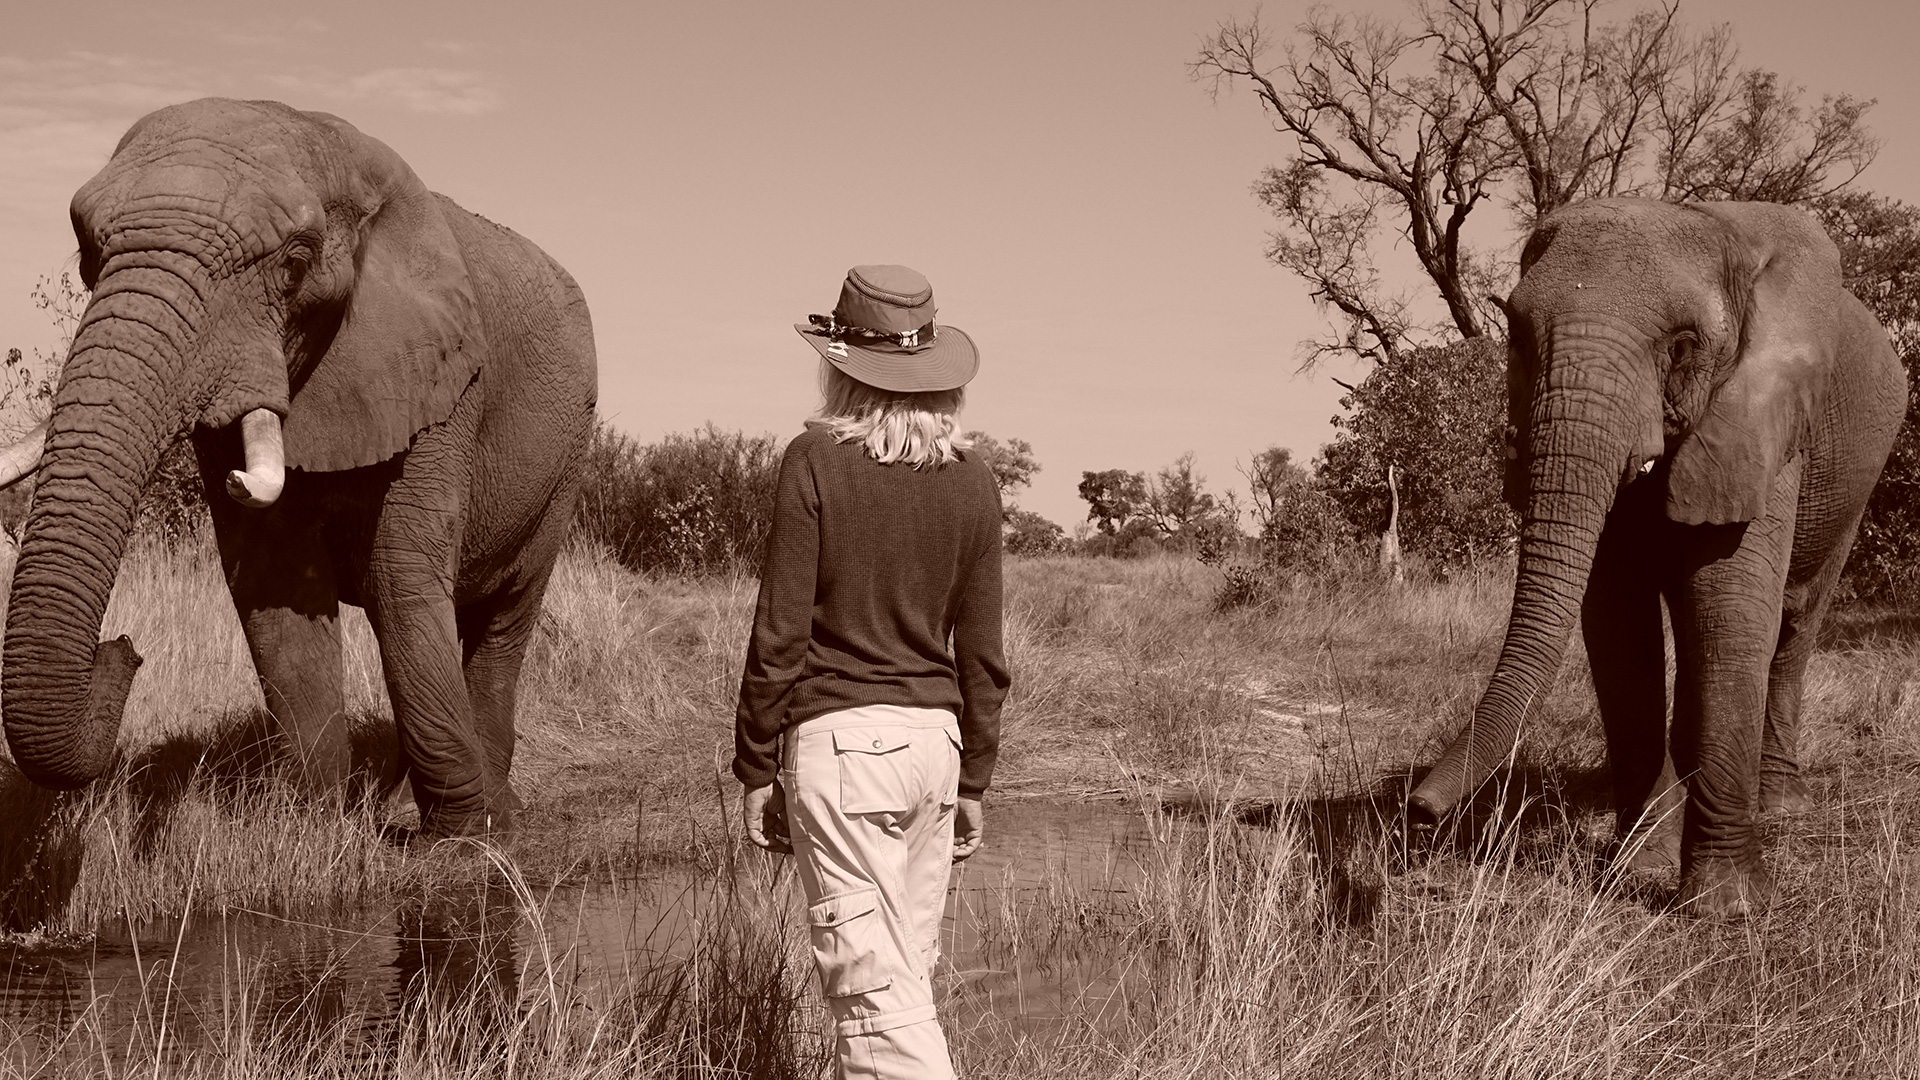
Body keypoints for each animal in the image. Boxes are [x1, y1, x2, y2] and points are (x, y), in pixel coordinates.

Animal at [0, 98, 597, 842]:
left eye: (295, 263)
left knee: (503, 617)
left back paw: (487, 811)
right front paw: (313, 825)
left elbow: (399, 577)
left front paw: (459, 834)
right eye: (87, 256)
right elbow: (277, 580)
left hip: (568, 456)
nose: (123, 649)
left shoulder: (446, 384)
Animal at [1405, 198, 1905, 918]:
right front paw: (1638, 872)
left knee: (1794, 622)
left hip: (1858, 480)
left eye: (1682, 345)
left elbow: (1731, 608)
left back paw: (1780, 806)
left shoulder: (1762, 418)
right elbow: (1619, 624)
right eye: (1517, 334)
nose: (1417, 810)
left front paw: (1725, 907)